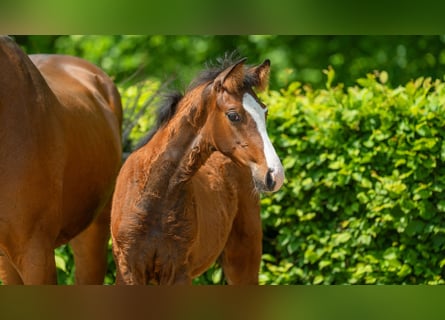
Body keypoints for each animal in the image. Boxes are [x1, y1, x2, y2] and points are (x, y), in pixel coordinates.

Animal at [111, 56, 284, 284]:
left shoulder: (178, 271)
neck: (154, 194)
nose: (275, 175)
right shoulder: (128, 269)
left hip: (243, 257)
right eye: (233, 115)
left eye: (265, 111)